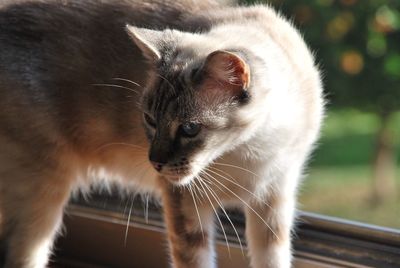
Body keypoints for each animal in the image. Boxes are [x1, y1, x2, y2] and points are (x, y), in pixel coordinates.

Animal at [0, 0, 324, 268]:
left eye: (189, 128)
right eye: (150, 120)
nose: (154, 163)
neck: (250, 150)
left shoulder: (273, 200)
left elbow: (272, 259)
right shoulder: (186, 203)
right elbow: (194, 261)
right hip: (42, 199)